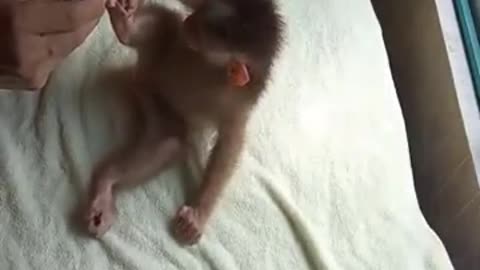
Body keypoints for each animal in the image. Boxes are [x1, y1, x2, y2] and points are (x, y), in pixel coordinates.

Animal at [84, 0, 284, 245]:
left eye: (203, 31)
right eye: (202, 13)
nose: (189, 22)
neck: (216, 68)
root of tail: (143, 84)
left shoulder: (238, 104)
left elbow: (230, 145)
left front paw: (198, 215)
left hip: (160, 108)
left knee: (170, 144)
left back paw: (108, 183)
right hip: (152, 68)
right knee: (166, 26)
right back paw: (125, 28)